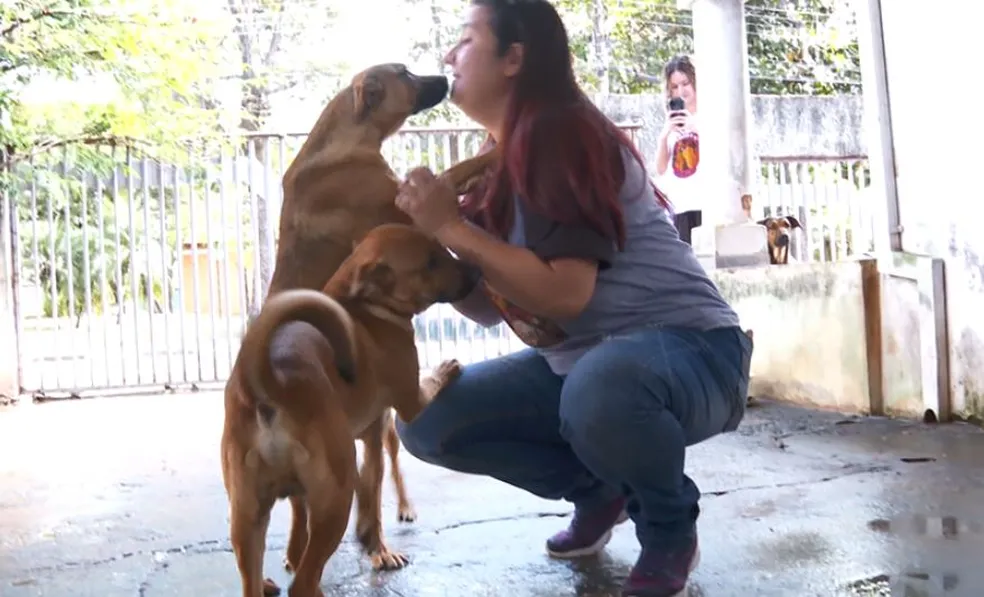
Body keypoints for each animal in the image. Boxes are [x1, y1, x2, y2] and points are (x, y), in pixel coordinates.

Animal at [224, 61, 500, 592]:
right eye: (405, 74)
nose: (445, 78)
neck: (346, 139)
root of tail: (267, 386)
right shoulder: (402, 208)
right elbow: (450, 175)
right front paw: (492, 153)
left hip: (305, 474)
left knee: (367, 482)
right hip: (339, 470)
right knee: (326, 516)